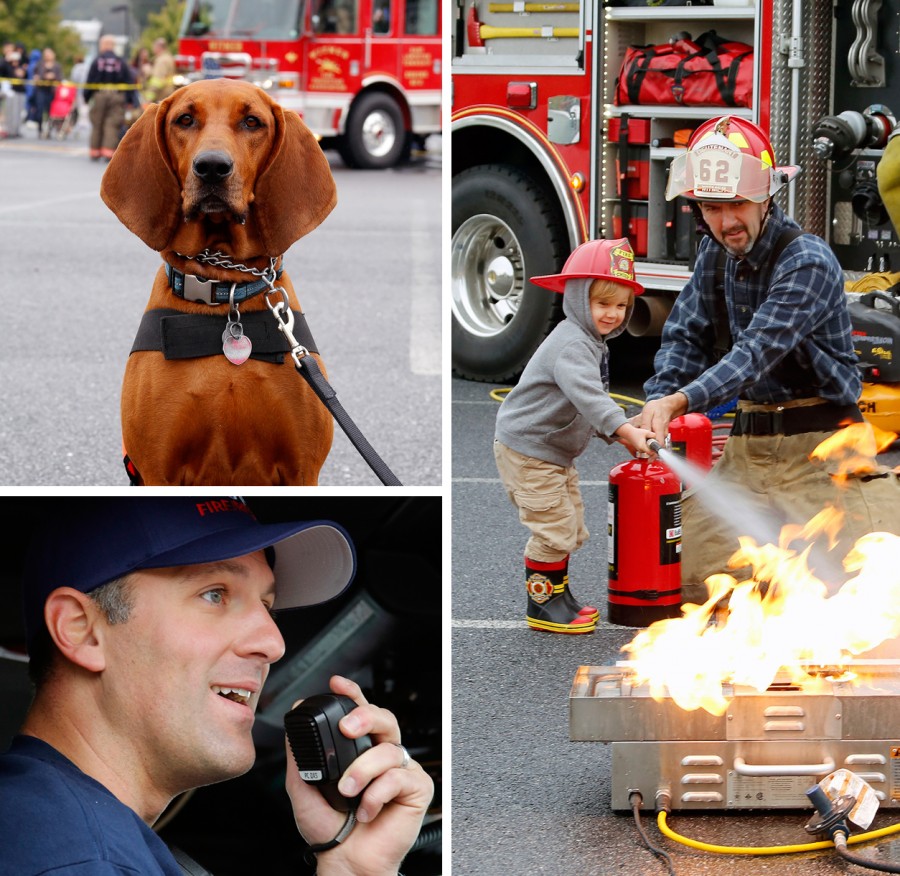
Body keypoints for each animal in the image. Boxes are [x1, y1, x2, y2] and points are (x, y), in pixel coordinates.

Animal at [99, 77, 338, 486]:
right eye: (185, 119)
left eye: (252, 122)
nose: (212, 167)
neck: (226, 288)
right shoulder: (157, 470)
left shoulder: (303, 469)